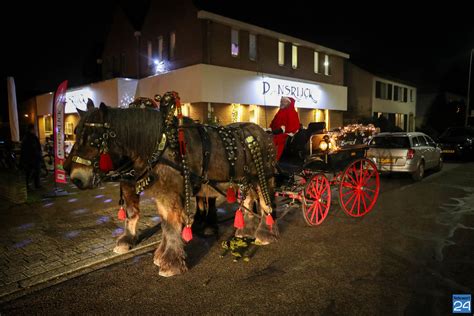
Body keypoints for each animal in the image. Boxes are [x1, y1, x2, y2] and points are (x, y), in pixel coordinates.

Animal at [65, 92, 278, 276]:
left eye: (94, 139)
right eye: (75, 133)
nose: (75, 177)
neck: (160, 145)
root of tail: (263, 132)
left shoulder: (170, 193)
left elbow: (171, 224)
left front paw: (171, 263)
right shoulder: (160, 193)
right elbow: (164, 223)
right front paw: (161, 255)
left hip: (264, 177)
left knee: (265, 204)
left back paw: (265, 234)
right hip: (246, 179)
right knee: (249, 200)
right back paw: (246, 230)